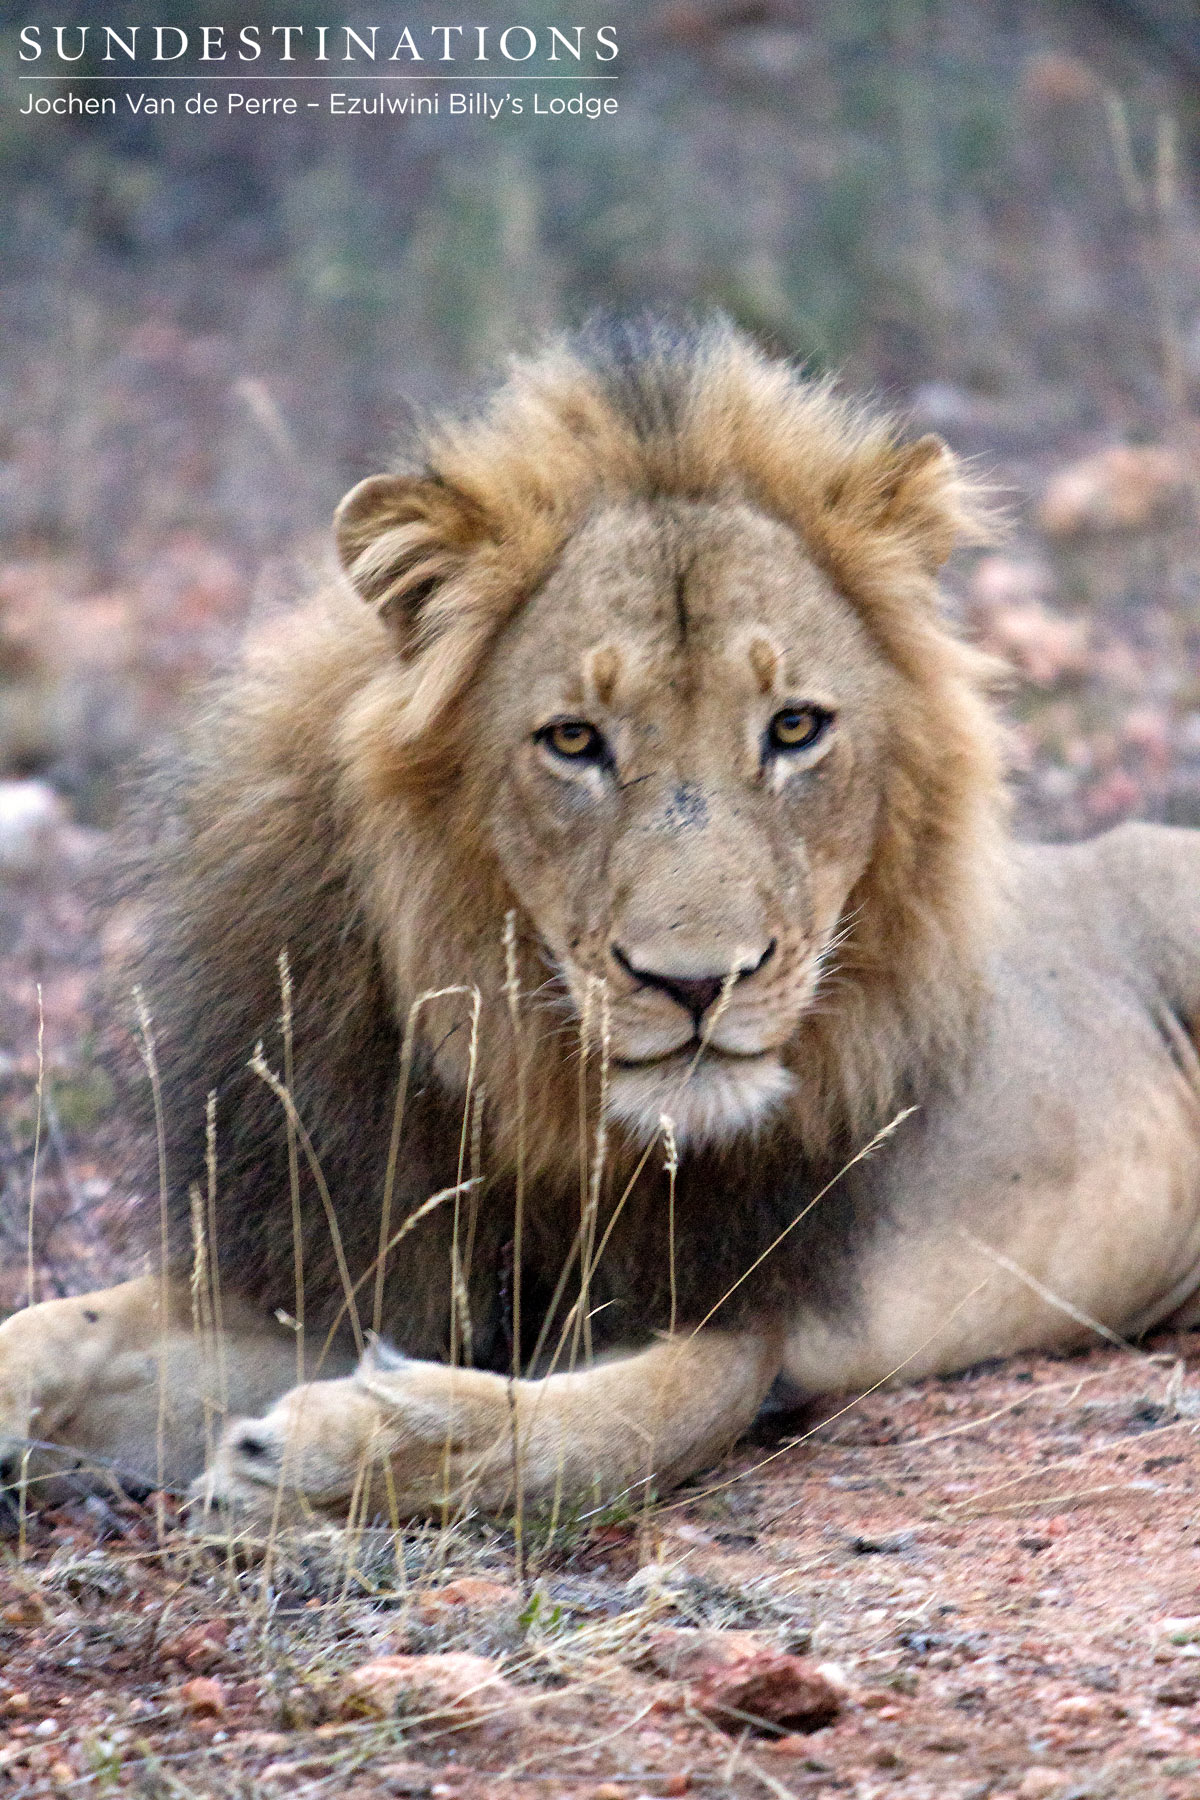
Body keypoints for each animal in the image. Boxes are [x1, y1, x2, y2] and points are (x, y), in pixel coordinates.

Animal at [2, 315, 1200, 1527]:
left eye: (796, 727)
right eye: (574, 740)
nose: (698, 982)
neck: (524, 1086)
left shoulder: (739, 1311)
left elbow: (607, 1427)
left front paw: (338, 1446)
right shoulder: (354, 1257)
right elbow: (56, 1330)